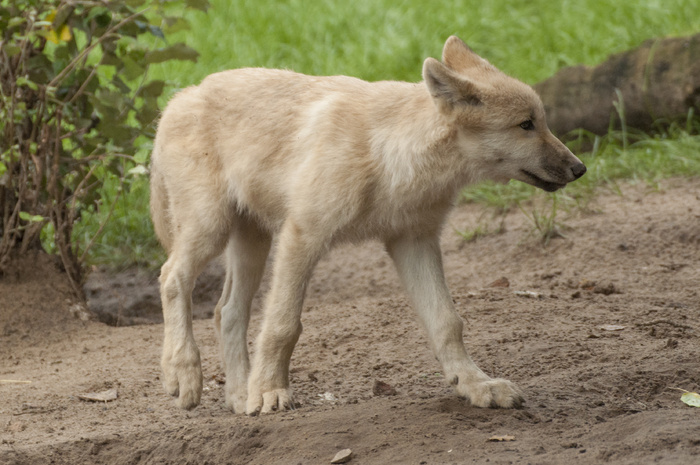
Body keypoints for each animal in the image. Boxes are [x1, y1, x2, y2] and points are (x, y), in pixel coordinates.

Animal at [152, 36, 584, 414]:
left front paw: (477, 386)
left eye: (542, 122)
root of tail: (179, 97)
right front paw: (272, 392)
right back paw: (184, 376)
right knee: (172, 276)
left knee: (225, 311)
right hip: (211, 228)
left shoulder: (414, 243)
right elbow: (282, 325)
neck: (390, 153)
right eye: (526, 125)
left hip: (252, 245)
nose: (580, 168)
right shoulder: (303, 237)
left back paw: (242, 398)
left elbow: (447, 322)